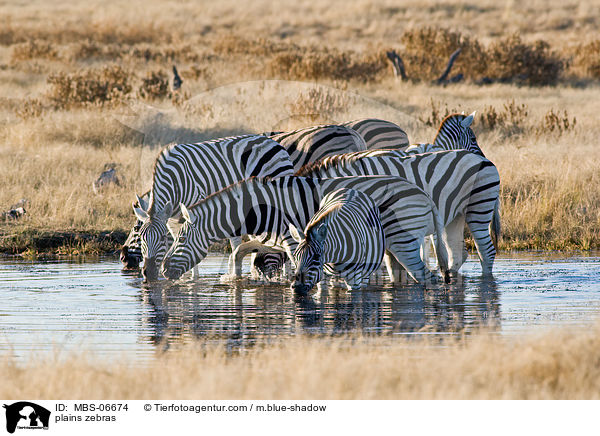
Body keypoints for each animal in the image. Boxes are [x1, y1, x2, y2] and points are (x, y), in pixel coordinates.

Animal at [159, 175, 450, 284]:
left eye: (180, 240)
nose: (161, 271)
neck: (255, 208)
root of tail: (422, 193)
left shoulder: (289, 238)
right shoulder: (273, 239)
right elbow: (238, 252)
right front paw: (236, 278)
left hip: (404, 240)